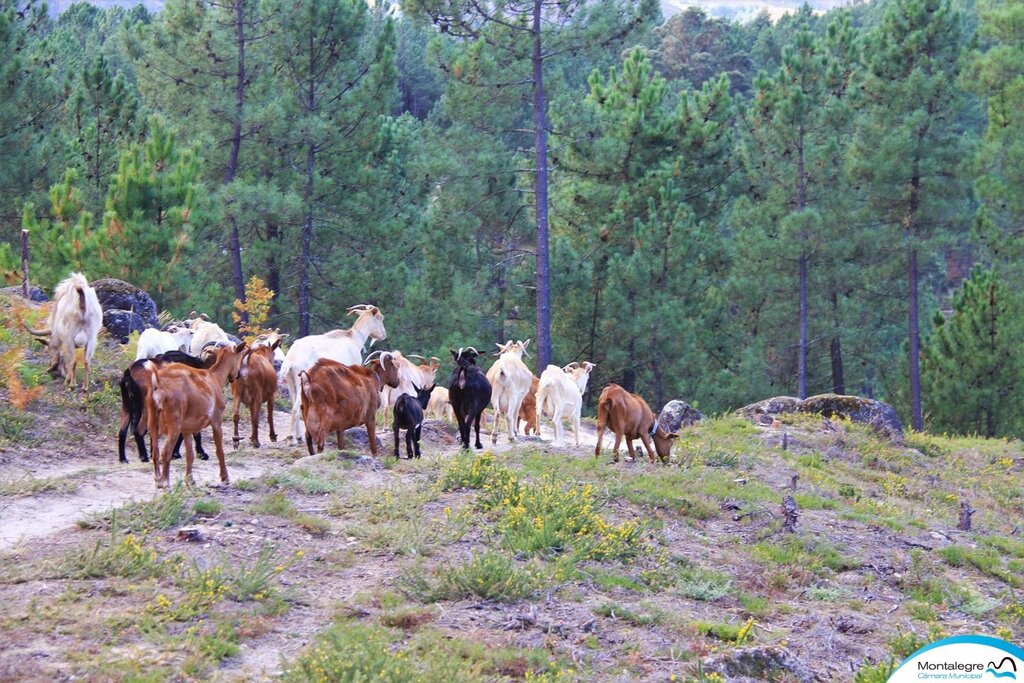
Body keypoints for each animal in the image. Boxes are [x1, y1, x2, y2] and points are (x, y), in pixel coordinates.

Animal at [145, 344, 248, 489]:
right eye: (240, 357)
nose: (237, 375)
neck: (214, 377)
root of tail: (159, 385)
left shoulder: (187, 429)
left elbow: (190, 454)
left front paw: (190, 480)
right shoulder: (217, 421)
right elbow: (219, 451)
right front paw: (225, 478)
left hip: (153, 421)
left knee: (156, 452)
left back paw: (157, 479)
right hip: (174, 425)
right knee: (166, 452)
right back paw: (165, 482)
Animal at [280, 305, 387, 446]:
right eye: (380, 318)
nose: (384, 334)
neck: (353, 339)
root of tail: (291, 358)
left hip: (291, 382)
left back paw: (298, 437)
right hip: (301, 381)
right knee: (296, 409)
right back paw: (291, 439)